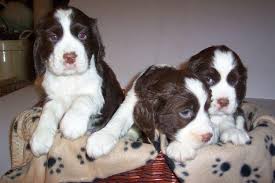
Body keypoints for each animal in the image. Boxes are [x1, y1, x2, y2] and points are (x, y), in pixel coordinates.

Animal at [30, 6, 124, 156]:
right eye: (53, 37)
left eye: (82, 35)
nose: (69, 57)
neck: (70, 78)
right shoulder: (53, 98)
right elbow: (47, 112)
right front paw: (39, 138)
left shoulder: (97, 94)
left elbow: (82, 98)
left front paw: (72, 124)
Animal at [87, 65, 215, 162]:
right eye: (185, 112)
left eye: (207, 108)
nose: (209, 136)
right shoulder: (132, 99)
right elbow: (119, 118)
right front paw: (101, 138)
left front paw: (181, 148)